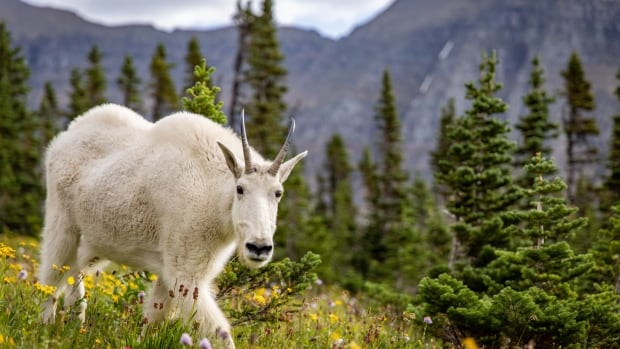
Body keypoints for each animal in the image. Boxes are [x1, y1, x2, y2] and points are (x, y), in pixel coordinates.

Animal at [38, 104, 308, 348]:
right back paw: (43, 328)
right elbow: (220, 333)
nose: (259, 247)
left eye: (278, 193)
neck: (212, 194)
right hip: (62, 223)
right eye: (240, 188)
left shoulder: (169, 270)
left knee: (74, 276)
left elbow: (153, 319)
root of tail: (62, 138)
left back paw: (75, 326)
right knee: (50, 277)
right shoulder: (185, 272)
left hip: (95, 242)